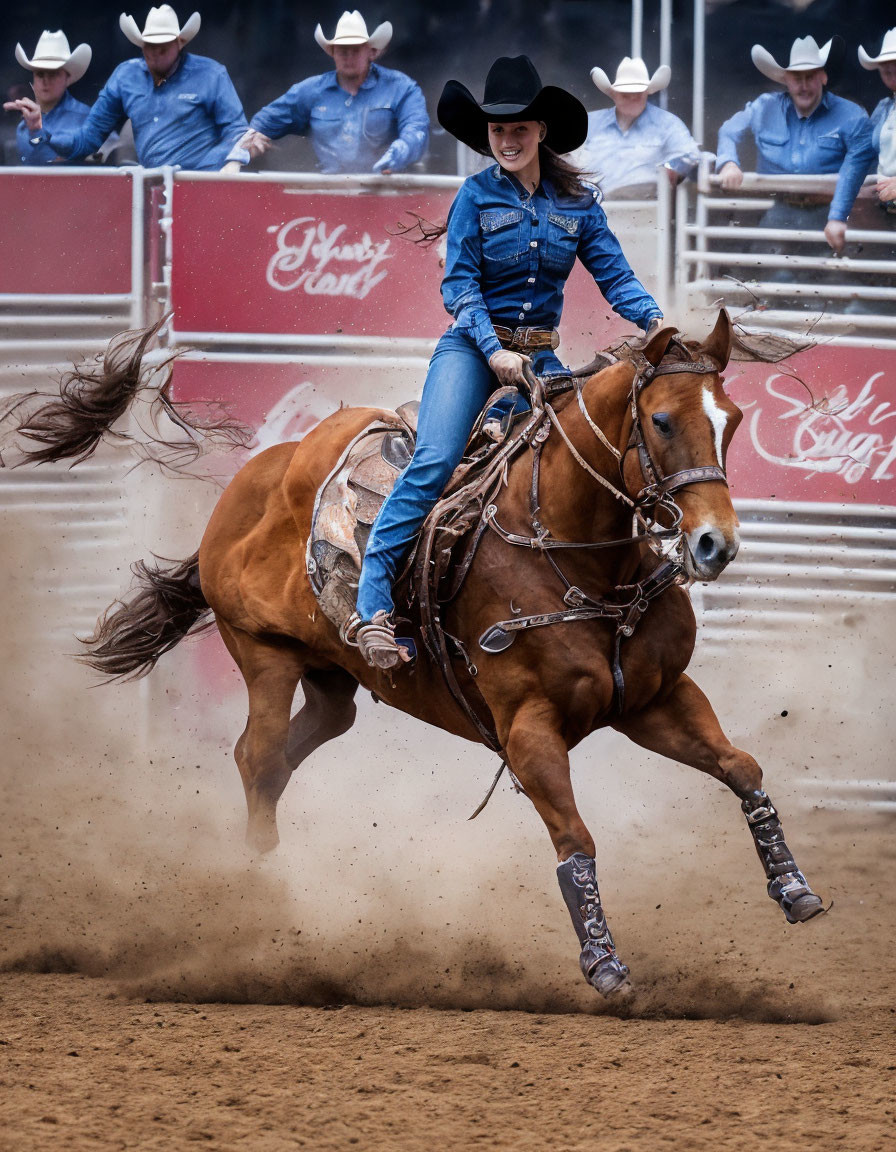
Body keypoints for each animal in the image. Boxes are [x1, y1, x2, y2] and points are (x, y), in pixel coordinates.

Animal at [80, 311, 819, 995]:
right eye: (662, 421)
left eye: (733, 419)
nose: (715, 545)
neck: (577, 562)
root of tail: (250, 480)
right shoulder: (528, 729)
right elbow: (575, 839)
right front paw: (604, 964)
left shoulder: (656, 698)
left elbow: (742, 768)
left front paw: (794, 889)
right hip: (264, 653)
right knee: (257, 758)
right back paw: (260, 897)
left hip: (331, 675)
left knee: (290, 749)